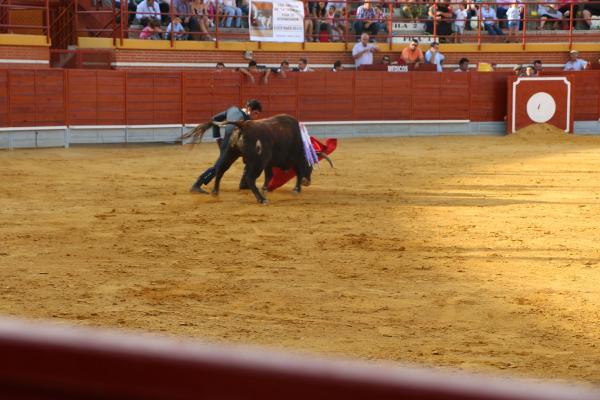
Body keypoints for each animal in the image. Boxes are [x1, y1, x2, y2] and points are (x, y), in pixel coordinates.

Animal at [183, 115, 332, 203]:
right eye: (309, 166)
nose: (308, 182)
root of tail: (243, 125)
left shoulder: (269, 163)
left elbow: (269, 176)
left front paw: (265, 189)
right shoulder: (288, 160)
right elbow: (298, 173)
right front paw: (296, 190)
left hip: (231, 153)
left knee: (220, 170)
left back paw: (215, 192)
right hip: (257, 162)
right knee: (249, 178)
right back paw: (261, 199)